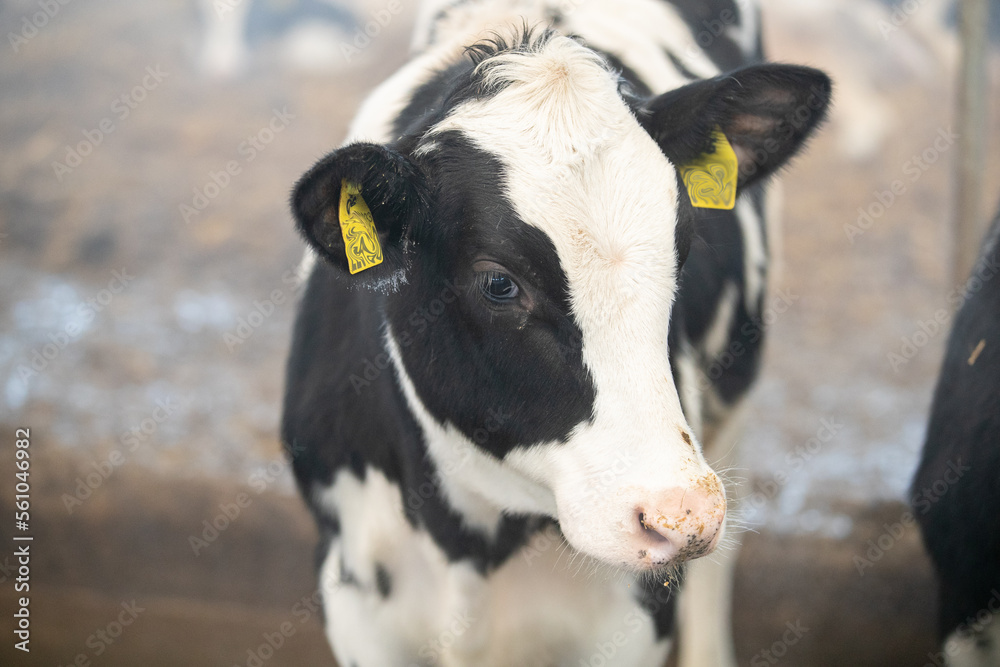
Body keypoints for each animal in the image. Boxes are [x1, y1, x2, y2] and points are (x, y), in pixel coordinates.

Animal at [282, 2, 828, 664]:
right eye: (498, 283)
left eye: (684, 246)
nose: (681, 514)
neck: (466, 548)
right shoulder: (356, 601)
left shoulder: (635, 619)